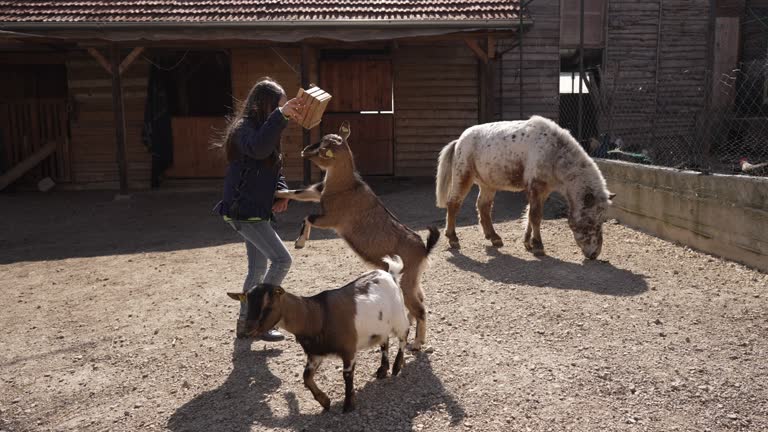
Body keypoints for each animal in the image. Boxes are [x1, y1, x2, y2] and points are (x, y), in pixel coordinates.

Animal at [226, 255, 412, 414]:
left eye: (268, 306)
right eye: (247, 304)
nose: (247, 330)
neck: (317, 315)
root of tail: (389, 274)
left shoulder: (348, 350)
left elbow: (347, 376)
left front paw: (348, 404)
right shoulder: (315, 353)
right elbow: (306, 377)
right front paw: (325, 401)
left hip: (399, 317)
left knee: (404, 335)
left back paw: (396, 367)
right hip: (381, 326)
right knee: (385, 341)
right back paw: (382, 370)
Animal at [278, 121, 440, 352]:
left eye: (324, 147)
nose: (304, 150)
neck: (346, 185)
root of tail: (424, 248)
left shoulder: (332, 219)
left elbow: (308, 217)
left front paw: (300, 242)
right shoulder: (317, 193)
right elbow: (296, 193)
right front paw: (278, 194)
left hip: (407, 280)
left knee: (420, 308)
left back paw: (417, 343)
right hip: (414, 279)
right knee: (421, 300)